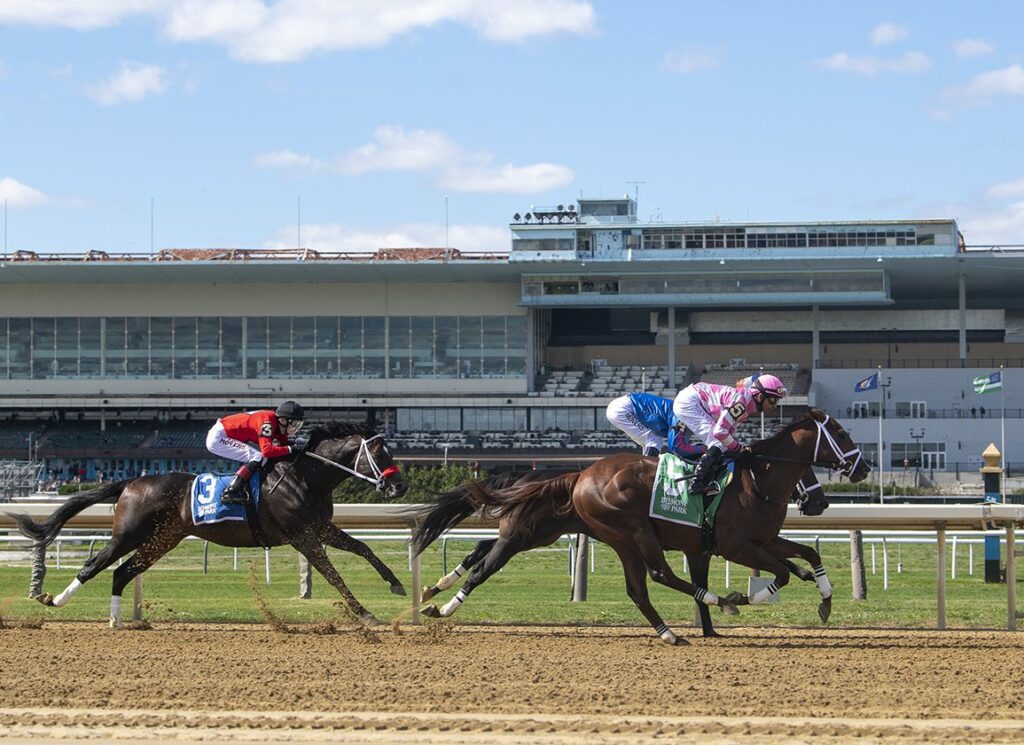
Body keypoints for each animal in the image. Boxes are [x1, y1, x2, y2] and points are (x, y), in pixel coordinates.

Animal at [9, 421, 407, 626]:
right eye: (380, 453)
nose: (399, 486)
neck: (305, 477)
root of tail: (133, 481)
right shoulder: (302, 536)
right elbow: (333, 575)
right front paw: (366, 614)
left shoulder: (320, 529)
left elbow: (364, 548)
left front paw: (397, 584)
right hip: (128, 534)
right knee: (93, 566)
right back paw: (54, 600)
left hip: (161, 540)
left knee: (121, 573)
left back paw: (118, 620)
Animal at [415, 466, 831, 630]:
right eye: (806, 473)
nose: (819, 502)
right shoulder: (710, 542)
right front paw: (727, 604)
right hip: (523, 536)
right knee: (485, 566)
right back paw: (444, 603)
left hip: (532, 535)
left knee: (482, 548)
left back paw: (436, 587)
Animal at [464, 409, 872, 642]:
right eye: (841, 434)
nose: (864, 467)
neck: (759, 480)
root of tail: (581, 476)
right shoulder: (736, 546)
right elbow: (781, 574)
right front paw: (742, 599)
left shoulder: (763, 540)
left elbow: (807, 554)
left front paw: (825, 598)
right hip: (631, 530)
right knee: (659, 574)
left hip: (609, 538)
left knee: (639, 588)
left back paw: (671, 632)